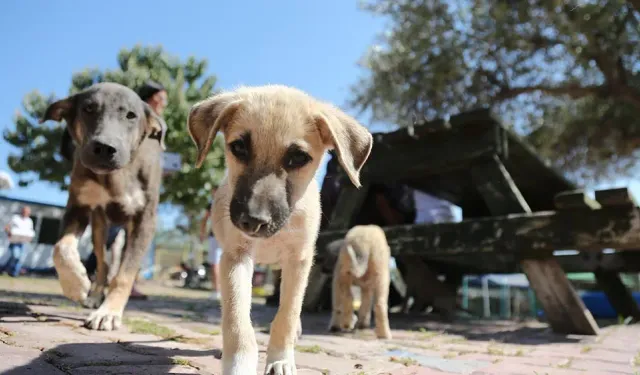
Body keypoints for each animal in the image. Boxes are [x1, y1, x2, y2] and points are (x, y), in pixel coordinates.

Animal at [42, 83, 166, 332]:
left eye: (131, 115)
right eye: (88, 109)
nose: (105, 148)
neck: (116, 176)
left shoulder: (144, 220)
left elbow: (125, 274)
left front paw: (109, 312)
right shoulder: (78, 206)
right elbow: (61, 248)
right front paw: (76, 285)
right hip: (100, 226)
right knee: (103, 263)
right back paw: (94, 294)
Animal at [188, 85, 372, 375]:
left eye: (298, 158)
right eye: (238, 147)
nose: (253, 221)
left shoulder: (299, 260)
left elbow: (288, 313)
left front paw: (280, 359)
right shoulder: (235, 257)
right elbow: (237, 318)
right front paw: (239, 363)